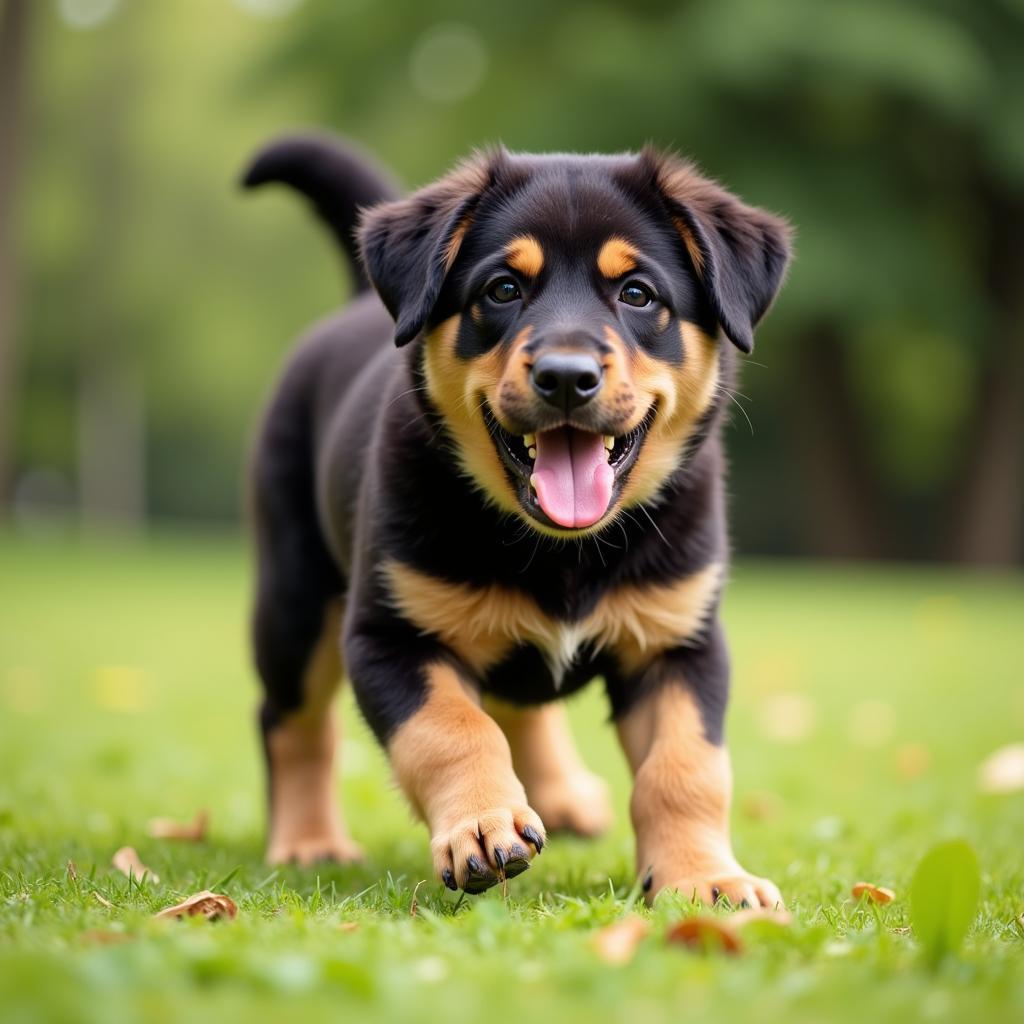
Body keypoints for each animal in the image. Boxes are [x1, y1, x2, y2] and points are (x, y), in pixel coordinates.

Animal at [239, 130, 790, 905]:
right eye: (503, 289)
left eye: (637, 293)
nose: (565, 377)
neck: (564, 552)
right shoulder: (389, 634)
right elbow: (450, 728)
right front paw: (481, 825)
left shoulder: (678, 641)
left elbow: (686, 769)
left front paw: (706, 879)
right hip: (295, 598)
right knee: (292, 722)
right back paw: (309, 841)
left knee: (522, 703)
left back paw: (560, 795)